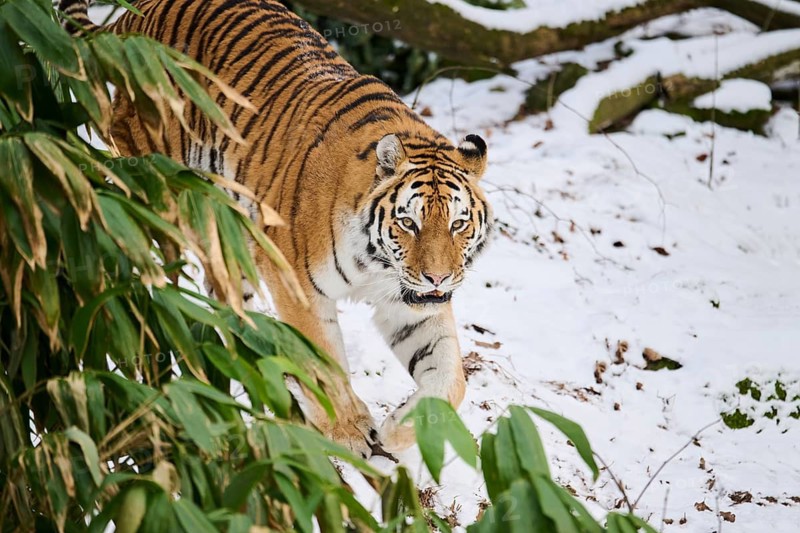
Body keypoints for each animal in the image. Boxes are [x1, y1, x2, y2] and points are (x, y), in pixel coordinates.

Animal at [60, 0, 494, 457]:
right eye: (409, 222)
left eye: (458, 223)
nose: (438, 278)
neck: (378, 263)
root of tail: (130, 19)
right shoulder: (297, 284)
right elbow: (322, 359)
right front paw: (349, 429)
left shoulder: (409, 302)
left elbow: (450, 378)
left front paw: (401, 427)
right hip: (175, 198)